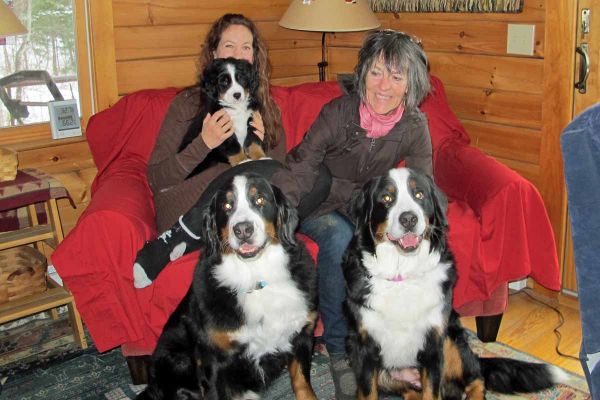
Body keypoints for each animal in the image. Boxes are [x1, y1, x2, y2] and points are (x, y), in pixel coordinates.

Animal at [137, 173, 318, 400]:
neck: (255, 277)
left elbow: (302, 382)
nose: (243, 229)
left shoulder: (302, 333)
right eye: (227, 206)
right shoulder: (215, 358)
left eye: (260, 200)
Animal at [340, 168, 564, 400]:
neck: (403, 275)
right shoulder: (364, 347)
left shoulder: (433, 340)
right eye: (386, 198)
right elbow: (368, 392)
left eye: (419, 195)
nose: (409, 218)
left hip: (451, 340)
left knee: (476, 380)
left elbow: (433, 393)